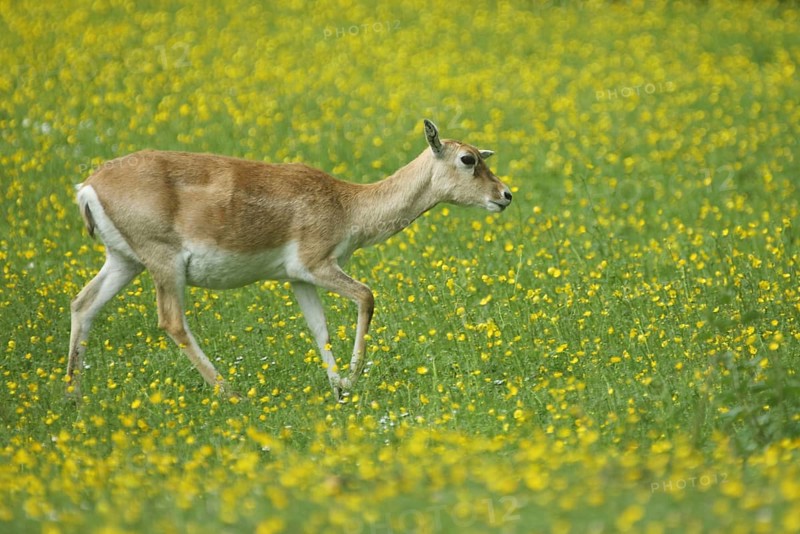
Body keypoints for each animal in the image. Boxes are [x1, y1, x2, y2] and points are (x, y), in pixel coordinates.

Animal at [68, 119, 512, 399]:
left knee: (83, 304)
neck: (348, 204)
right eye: (468, 159)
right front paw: (353, 380)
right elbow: (366, 296)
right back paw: (232, 394)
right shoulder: (316, 265)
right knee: (172, 322)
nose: (505, 195)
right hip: (164, 264)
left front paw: (339, 389)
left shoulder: (297, 278)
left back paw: (73, 396)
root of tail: (89, 185)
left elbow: (319, 329)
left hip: (124, 261)